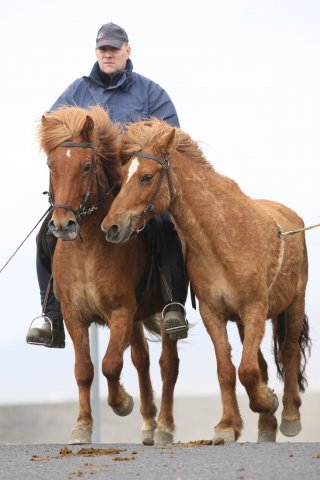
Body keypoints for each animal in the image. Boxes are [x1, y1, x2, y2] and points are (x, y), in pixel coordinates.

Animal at [102, 120, 310, 442]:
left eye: (146, 177)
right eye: (122, 178)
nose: (111, 227)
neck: (224, 235)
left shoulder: (254, 309)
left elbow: (247, 369)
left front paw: (267, 401)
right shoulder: (215, 314)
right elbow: (228, 369)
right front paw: (229, 425)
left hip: (294, 304)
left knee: (288, 352)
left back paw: (288, 416)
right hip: (244, 323)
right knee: (261, 363)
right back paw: (265, 426)